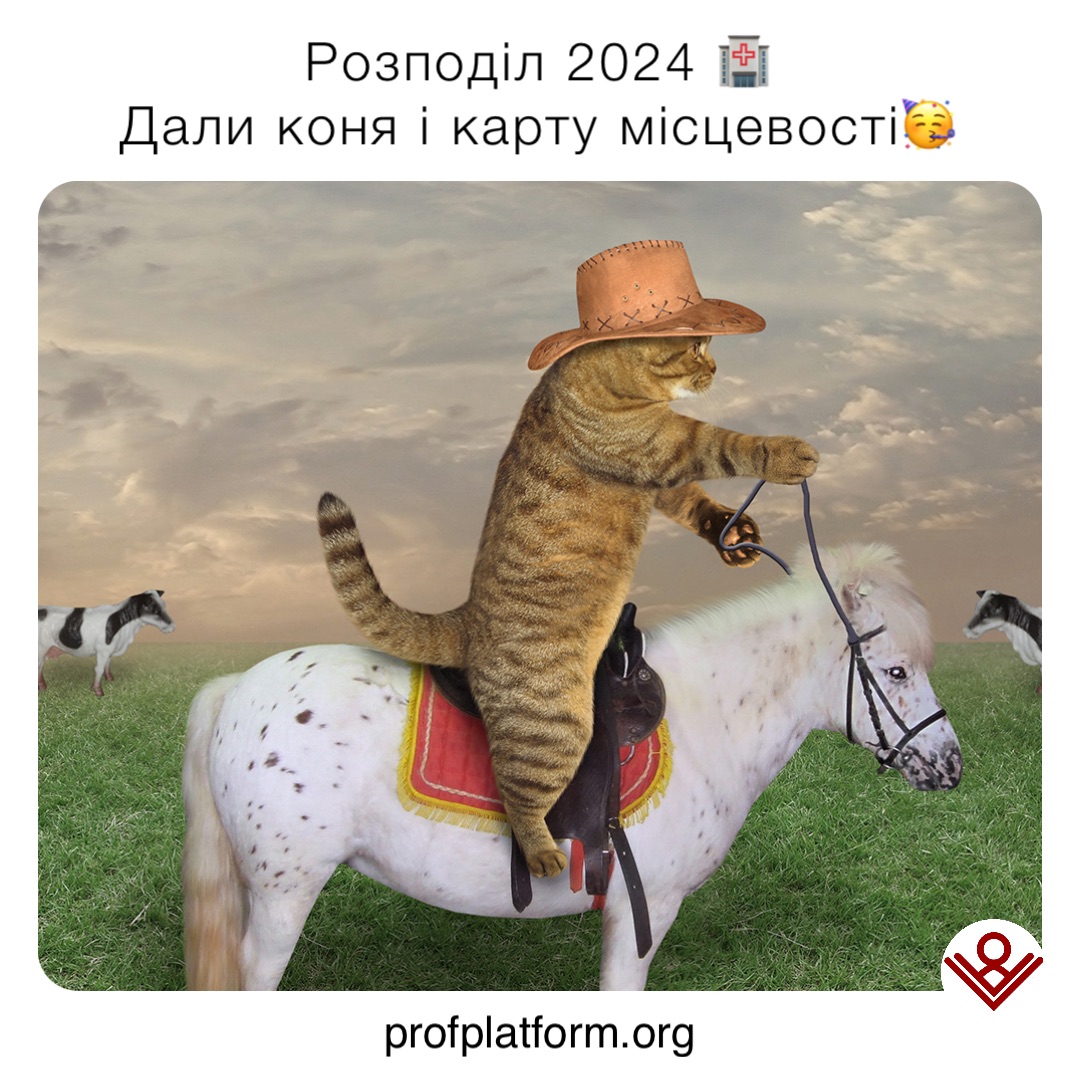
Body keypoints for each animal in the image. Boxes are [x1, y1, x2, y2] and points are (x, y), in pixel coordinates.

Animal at [182, 539, 962, 991]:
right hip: (286, 891)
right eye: (896, 671)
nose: (951, 763)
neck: (708, 716)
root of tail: (238, 688)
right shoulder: (646, 909)